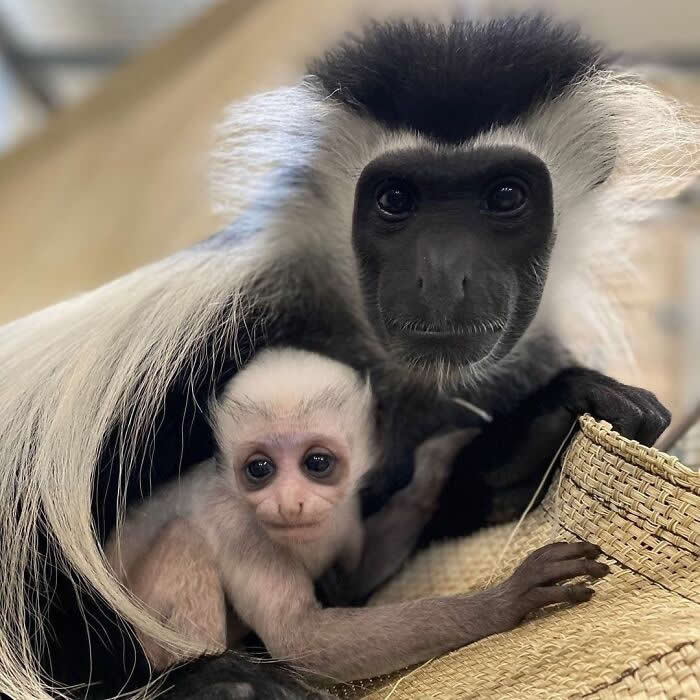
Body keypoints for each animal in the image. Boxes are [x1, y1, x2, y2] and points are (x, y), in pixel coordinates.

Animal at [105, 347, 608, 690]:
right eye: (259, 469)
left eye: (317, 463)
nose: (288, 502)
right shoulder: (237, 524)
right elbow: (299, 638)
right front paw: (505, 599)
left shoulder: (345, 516)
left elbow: (352, 581)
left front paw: (432, 473)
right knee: (183, 539)